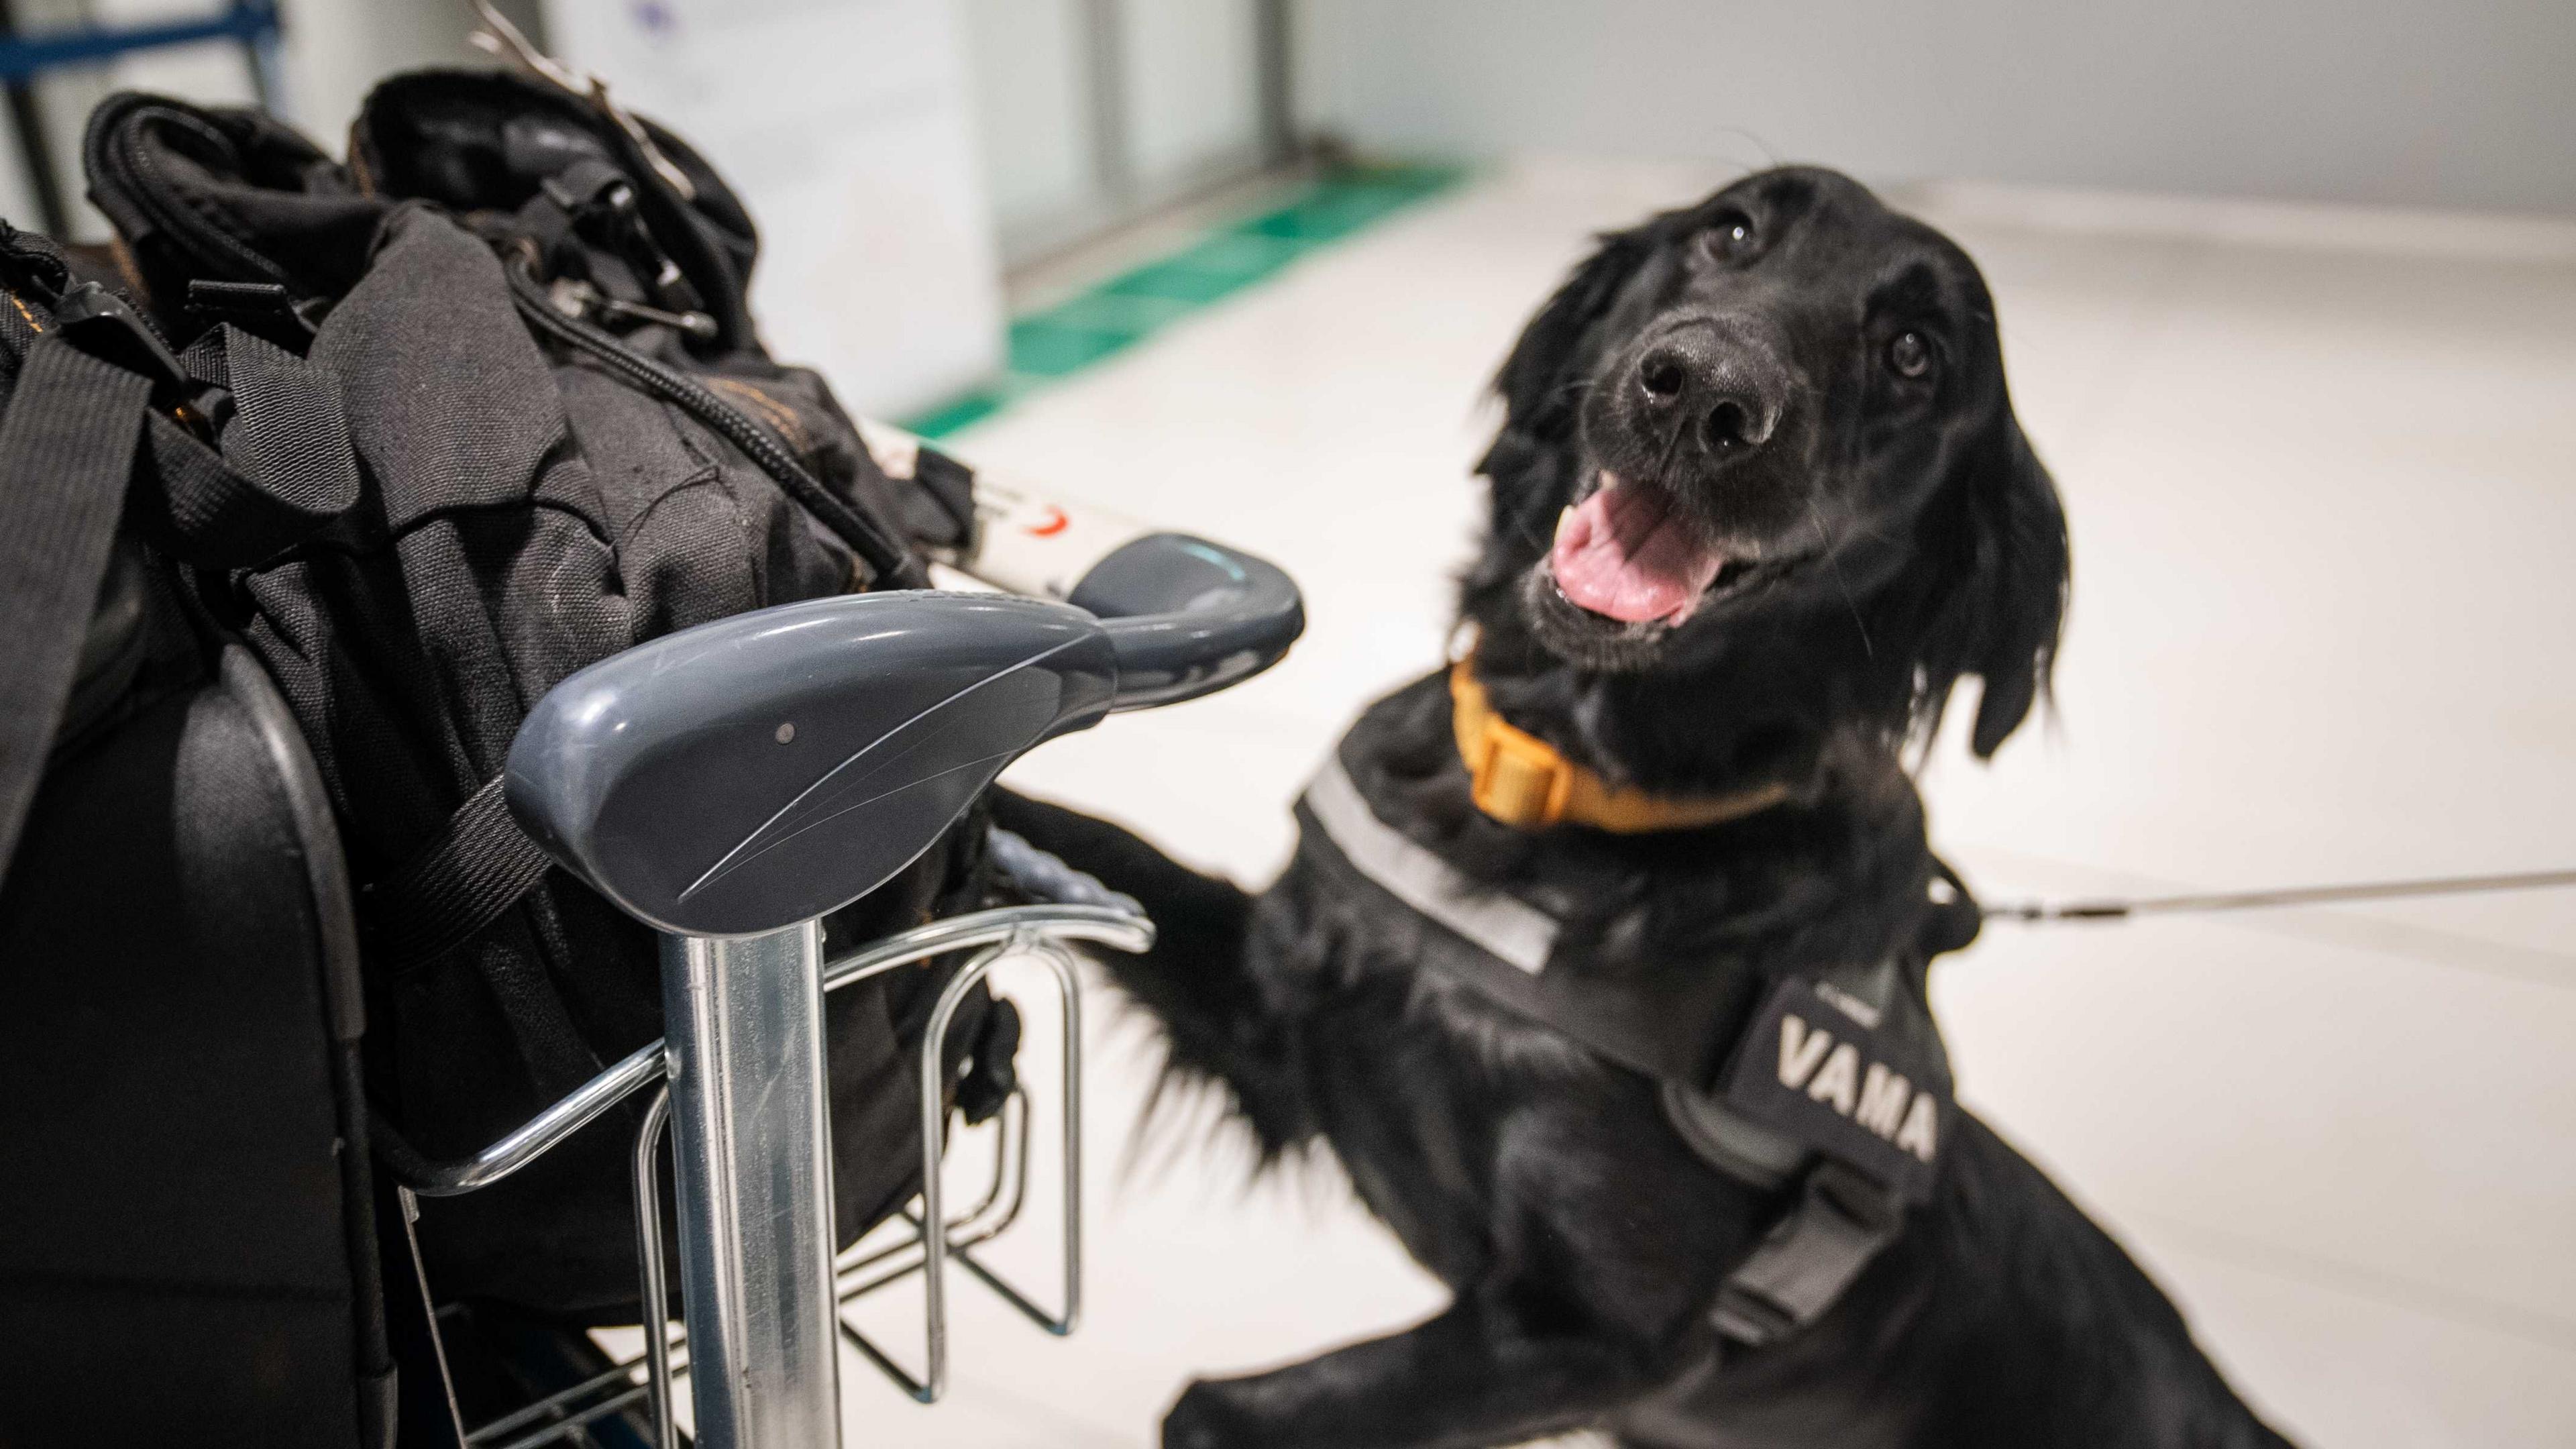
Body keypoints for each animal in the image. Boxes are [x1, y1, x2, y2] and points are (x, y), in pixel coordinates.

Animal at [994, 168, 2287, 1444]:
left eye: (1916, 353)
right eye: (1731, 230)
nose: (1704, 389)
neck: (1555, 793)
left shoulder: (1608, 1336)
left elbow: (1216, 1411)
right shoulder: (1278, 1015)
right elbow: (1081, 845)